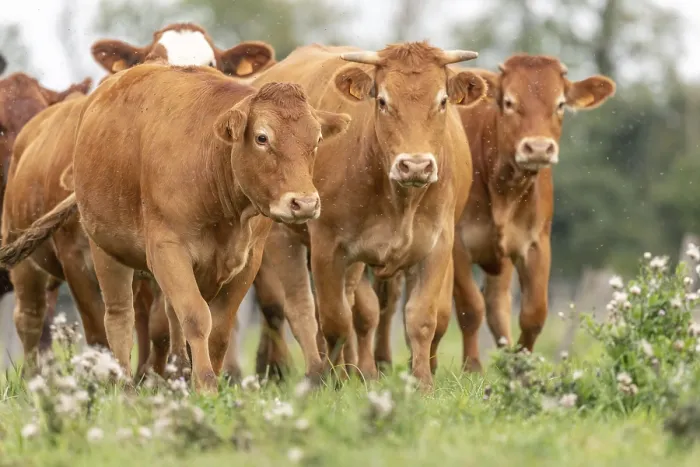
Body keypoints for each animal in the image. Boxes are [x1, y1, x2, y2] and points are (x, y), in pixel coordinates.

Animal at [246, 42, 486, 390]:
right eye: (383, 101)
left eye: (442, 101)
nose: (415, 165)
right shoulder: (328, 248)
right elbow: (334, 320)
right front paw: (334, 382)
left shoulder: (438, 245)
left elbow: (421, 318)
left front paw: (422, 383)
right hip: (283, 238)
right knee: (303, 309)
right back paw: (319, 373)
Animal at [372, 54, 616, 372]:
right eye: (509, 102)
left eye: (560, 104)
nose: (539, 148)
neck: (504, 188)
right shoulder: (457, 245)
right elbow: (469, 308)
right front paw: (472, 366)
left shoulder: (535, 243)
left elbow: (533, 313)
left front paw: (521, 367)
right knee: (389, 302)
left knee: (496, 305)